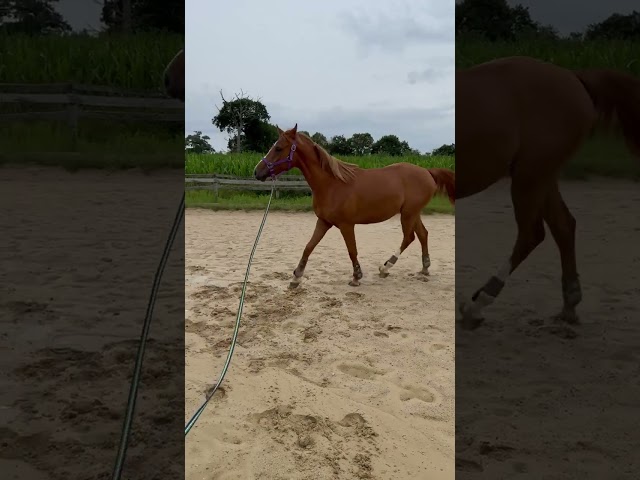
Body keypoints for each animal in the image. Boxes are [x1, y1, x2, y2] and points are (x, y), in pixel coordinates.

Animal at [253, 125, 455, 288]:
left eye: (278, 148)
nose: (257, 172)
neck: (331, 184)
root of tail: (428, 172)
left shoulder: (346, 225)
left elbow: (352, 250)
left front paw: (356, 277)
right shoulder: (323, 222)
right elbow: (308, 247)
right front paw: (296, 278)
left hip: (408, 214)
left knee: (409, 237)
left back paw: (385, 267)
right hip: (413, 213)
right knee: (422, 235)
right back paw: (424, 269)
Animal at [456, 55, 640, 329]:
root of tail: (574, 77)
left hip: (530, 176)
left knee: (532, 234)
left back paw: (476, 305)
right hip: (543, 176)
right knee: (564, 226)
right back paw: (569, 306)